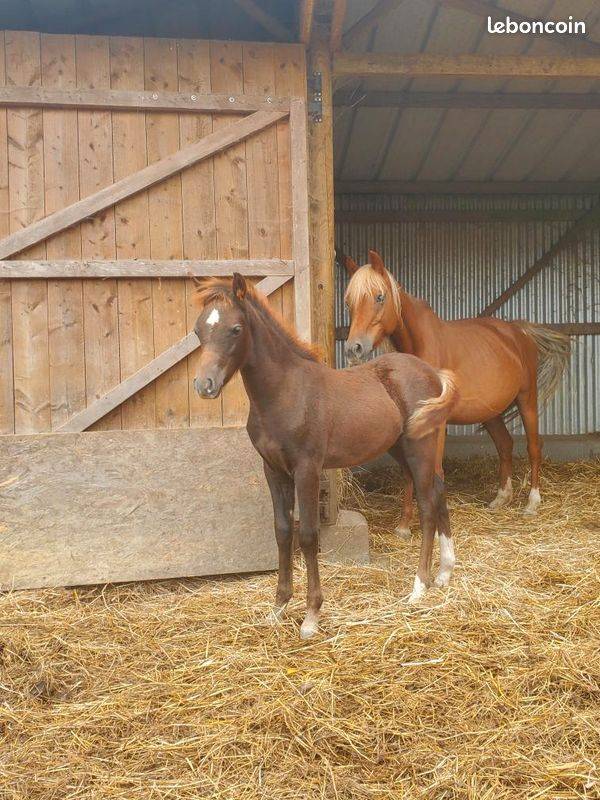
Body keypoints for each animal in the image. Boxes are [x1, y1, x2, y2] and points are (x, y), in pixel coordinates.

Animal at [192, 274, 459, 638]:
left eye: (235, 329)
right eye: (197, 330)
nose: (204, 385)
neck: (285, 393)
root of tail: (433, 374)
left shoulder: (307, 468)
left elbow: (307, 535)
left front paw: (311, 615)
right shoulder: (273, 469)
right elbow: (282, 531)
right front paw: (279, 606)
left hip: (419, 448)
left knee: (428, 505)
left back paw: (419, 587)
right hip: (402, 449)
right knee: (439, 489)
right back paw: (445, 572)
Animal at [342, 249, 571, 534]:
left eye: (379, 296)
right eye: (348, 302)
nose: (354, 348)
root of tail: (519, 330)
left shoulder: (436, 423)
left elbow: (435, 470)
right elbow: (409, 471)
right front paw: (404, 525)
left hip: (527, 399)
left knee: (533, 446)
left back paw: (532, 503)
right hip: (490, 411)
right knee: (505, 444)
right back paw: (501, 498)